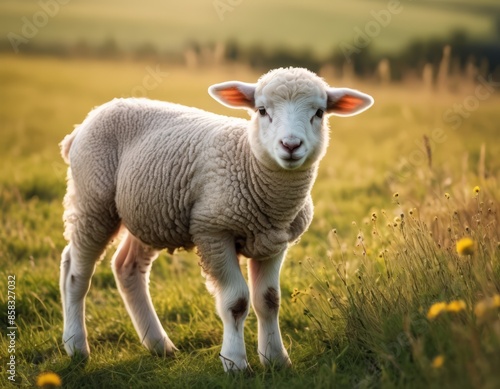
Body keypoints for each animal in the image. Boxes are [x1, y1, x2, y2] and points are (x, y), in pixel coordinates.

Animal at [58, 66, 374, 370]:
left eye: (319, 112)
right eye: (262, 110)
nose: (291, 145)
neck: (249, 162)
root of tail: (84, 123)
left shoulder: (274, 242)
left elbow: (269, 300)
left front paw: (276, 360)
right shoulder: (213, 231)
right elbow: (236, 302)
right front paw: (235, 363)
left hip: (148, 215)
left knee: (127, 267)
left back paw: (159, 345)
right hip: (93, 201)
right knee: (76, 271)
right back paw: (76, 346)